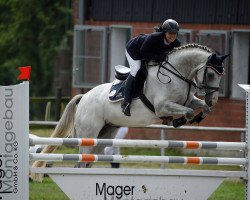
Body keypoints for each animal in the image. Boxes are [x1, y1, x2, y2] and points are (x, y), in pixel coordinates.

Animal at [30, 43, 229, 181]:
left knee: (89, 160)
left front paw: (201, 115)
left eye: (222, 75)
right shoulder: (162, 106)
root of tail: (84, 96)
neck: (177, 74)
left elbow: (200, 107)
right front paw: (176, 121)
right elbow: (187, 112)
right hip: (88, 134)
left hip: (104, 135)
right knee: (80, 160)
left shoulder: (189, 100)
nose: (214, 99)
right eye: (211, 74)